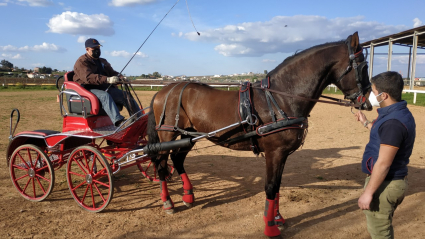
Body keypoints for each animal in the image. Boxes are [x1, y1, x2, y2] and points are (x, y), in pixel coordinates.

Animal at [147, 31, 372, 237]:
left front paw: (277, 217)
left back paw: (188, 197)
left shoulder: (282, 155)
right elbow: (271, 187)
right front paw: (270, 227)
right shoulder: (275, 153)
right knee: (161, 164)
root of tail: (164, 90)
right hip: (167, 135)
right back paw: (168, 202)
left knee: (177, 159)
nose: (368, 103)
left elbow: (278, 186)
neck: (280, 99)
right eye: (363, 66)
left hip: (189, 136)